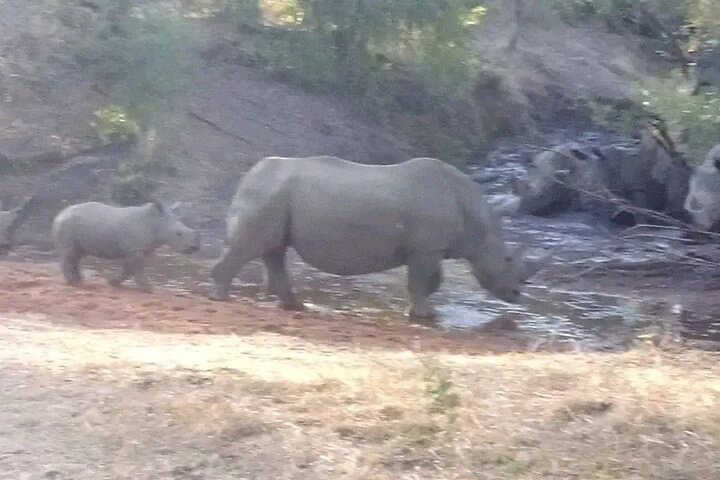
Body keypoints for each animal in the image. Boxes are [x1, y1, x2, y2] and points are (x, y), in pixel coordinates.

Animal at [52, 200, 200, 291]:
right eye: (178, 234)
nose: (195, 248)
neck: (156, 222)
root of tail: (59, 215)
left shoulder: (145, 248)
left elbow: (131, 268)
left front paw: (113, 282)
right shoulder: (135, 249)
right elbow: (134, 268)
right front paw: (147, 288)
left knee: (77, 254)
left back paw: (79, 281)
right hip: (67, 225)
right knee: (70, 253)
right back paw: (73, 283)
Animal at [210, 156, 549, 318]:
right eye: (508, 259)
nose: (517, 295)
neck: (479, 220)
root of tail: (250, 174)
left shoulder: (430, 247)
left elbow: (432, 280)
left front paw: (424, 310)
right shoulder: (426, 248)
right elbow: (420, 281)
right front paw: (424, 315)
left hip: (276, 195)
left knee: (274, 249)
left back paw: (294, 306)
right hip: (268, 192)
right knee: (253, 246)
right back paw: (220, 298)